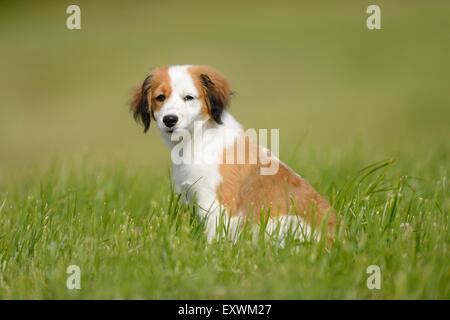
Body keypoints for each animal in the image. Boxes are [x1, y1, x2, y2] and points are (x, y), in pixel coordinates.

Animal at [130, 65, 334, 245]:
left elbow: (213, 237)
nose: (169, 120)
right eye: (160, 97)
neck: (199, 137)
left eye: (189, 97)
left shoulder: (215, 204)